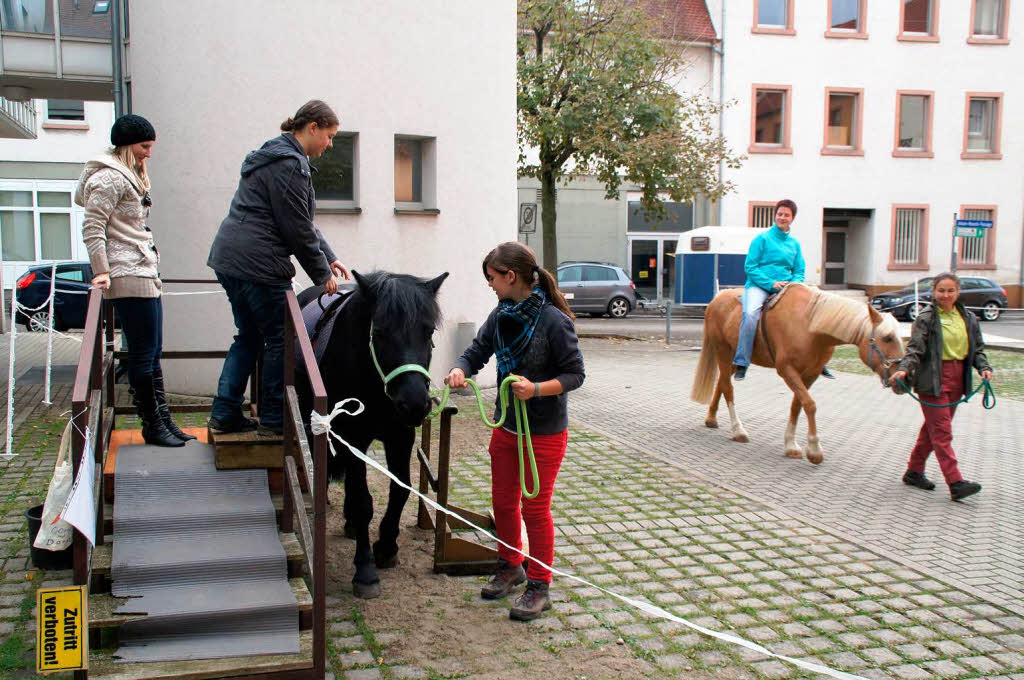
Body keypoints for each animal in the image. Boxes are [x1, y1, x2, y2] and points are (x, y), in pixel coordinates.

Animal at [292, 268, 444, 598]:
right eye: (381, 333)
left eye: (427, 332)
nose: (414, 403)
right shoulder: (353, 438)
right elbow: (363, 502)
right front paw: (365, 570)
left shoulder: (400, 437)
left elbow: (400, 490)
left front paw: (386, 546)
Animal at [688, 284, 905, 464]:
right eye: (887, 337)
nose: (900, 378)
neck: (810, 326)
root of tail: (717, 298)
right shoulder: (787, 370)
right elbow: (809, 404)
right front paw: (814, 450)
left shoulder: (811, 373)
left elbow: (797, 405)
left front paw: (791, 445)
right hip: (724, 353)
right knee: (728, 387)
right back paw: (738, 430)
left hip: (733, 358)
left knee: (721, 384)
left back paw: (711, 419)